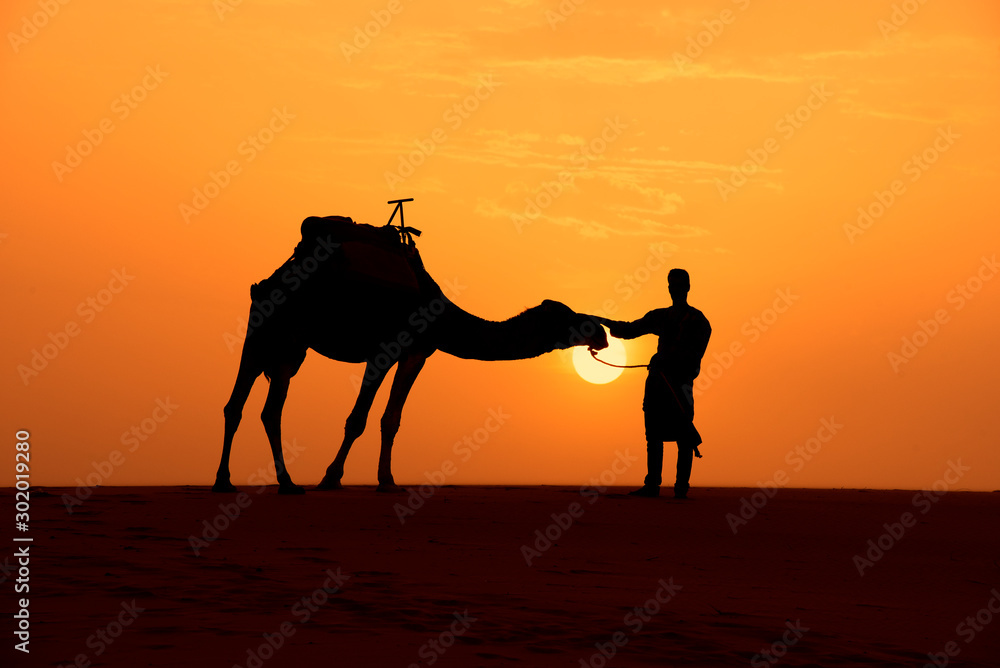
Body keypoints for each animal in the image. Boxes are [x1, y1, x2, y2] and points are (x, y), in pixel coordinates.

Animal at [211, 213, 604, 490]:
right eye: (568, 317)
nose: (600, 334)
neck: (441, 314)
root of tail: (273, 279)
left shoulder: (416, 353)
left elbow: (392, 419)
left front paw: (387, 481)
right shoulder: (386, 349)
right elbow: (358, 419)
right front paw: (331, 477)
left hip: (275, 339)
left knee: (250, 407)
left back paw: (246, 482)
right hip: (279, 334)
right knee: (254, 406)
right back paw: (268, 482)